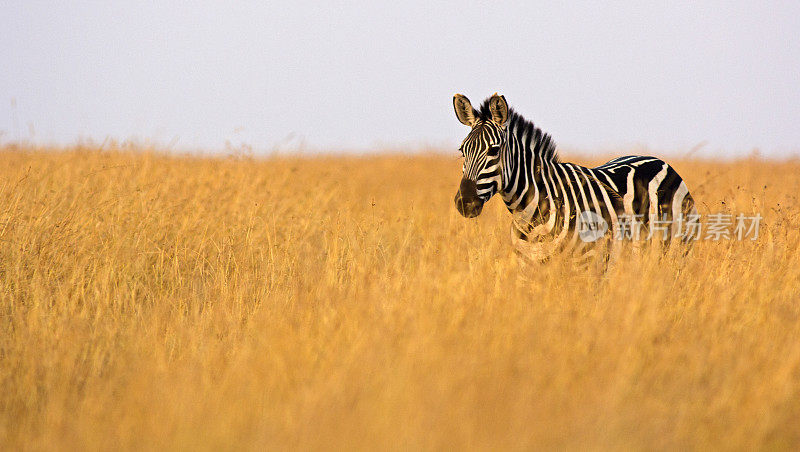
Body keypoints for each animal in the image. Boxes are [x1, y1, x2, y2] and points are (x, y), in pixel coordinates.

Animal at [454, 92, 696, 262]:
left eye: (494, 151)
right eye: (462, 151)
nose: (465, 202)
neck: (530, 214)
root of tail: (657, 159)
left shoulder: (586, 264)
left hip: (677, 247)